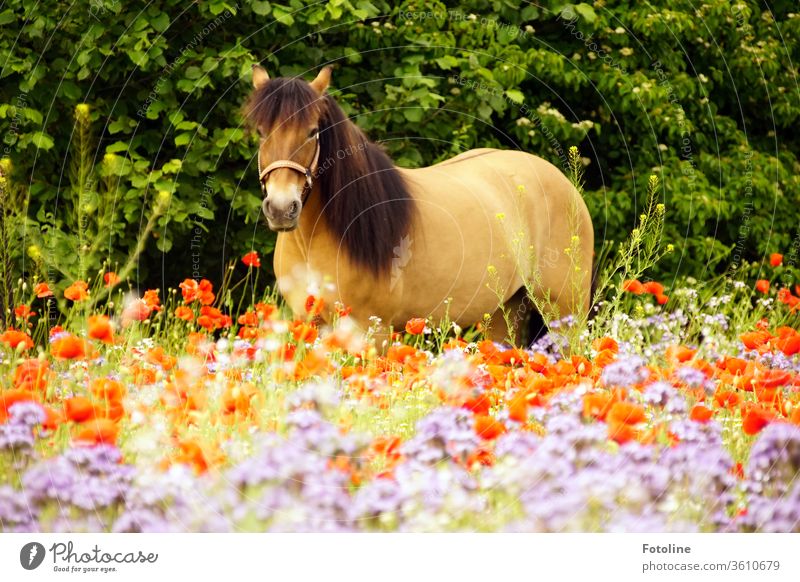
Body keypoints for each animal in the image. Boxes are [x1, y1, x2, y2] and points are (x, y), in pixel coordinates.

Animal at [244, 65, 592, 344]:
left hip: (564, 313)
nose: (281, 208)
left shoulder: (373, 330)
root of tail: (567, 186)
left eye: (313, 132)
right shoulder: (311, 323)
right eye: (261, 133)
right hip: (503, 312)